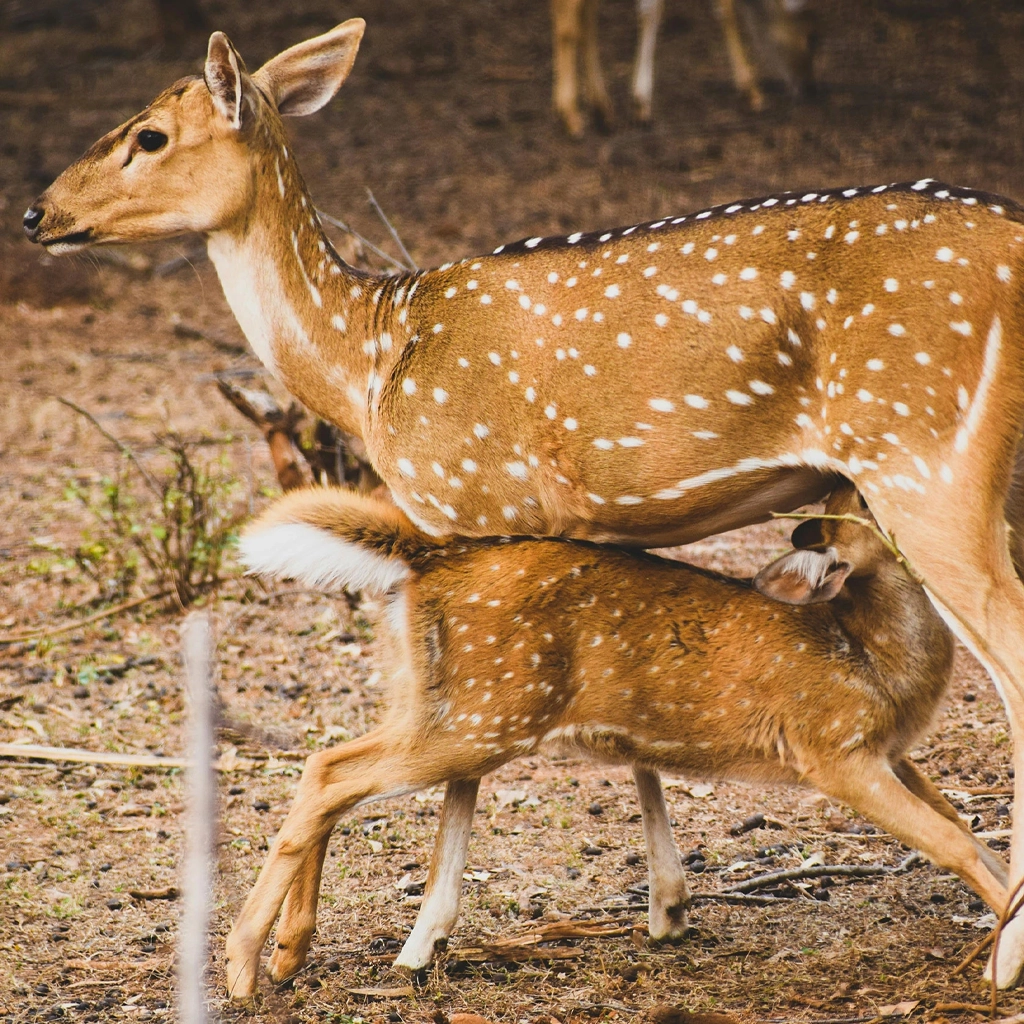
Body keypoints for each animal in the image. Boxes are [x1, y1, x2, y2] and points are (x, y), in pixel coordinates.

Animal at [224, 479, 1009, 995]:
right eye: (870, 501)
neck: (876, 661)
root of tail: (427, 560)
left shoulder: (894, 754)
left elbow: (974, 834)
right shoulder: (833, 749)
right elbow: (952, 842)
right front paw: (1005, 966)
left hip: (436, 702)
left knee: (331, 764)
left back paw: (294, 954)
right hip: (486, 715)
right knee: (328, 771)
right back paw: (242, 968)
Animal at [551, 0, 816, 137]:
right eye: (810, 38)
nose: (806, 84)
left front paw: (636, 105)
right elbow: (724, 8)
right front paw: (751, 91)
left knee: (585, 17)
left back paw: (603, 112)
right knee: (568, 20)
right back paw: (570, 115)